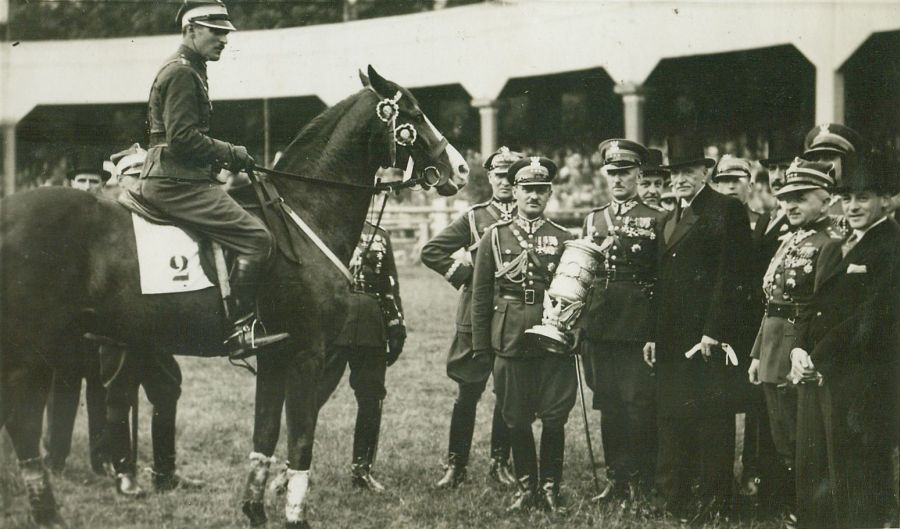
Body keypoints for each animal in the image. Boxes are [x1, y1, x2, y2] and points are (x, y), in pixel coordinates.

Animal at [0, 65, 469, 529]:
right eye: (414, 112)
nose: (462, 170)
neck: (301, 213)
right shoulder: (307, 353)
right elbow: (301, 438)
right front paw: (295, 516)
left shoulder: (275, 355)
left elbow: (265, 433)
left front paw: (255, 509)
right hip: (33, 356)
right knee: (26, 425)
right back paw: (50, 512)